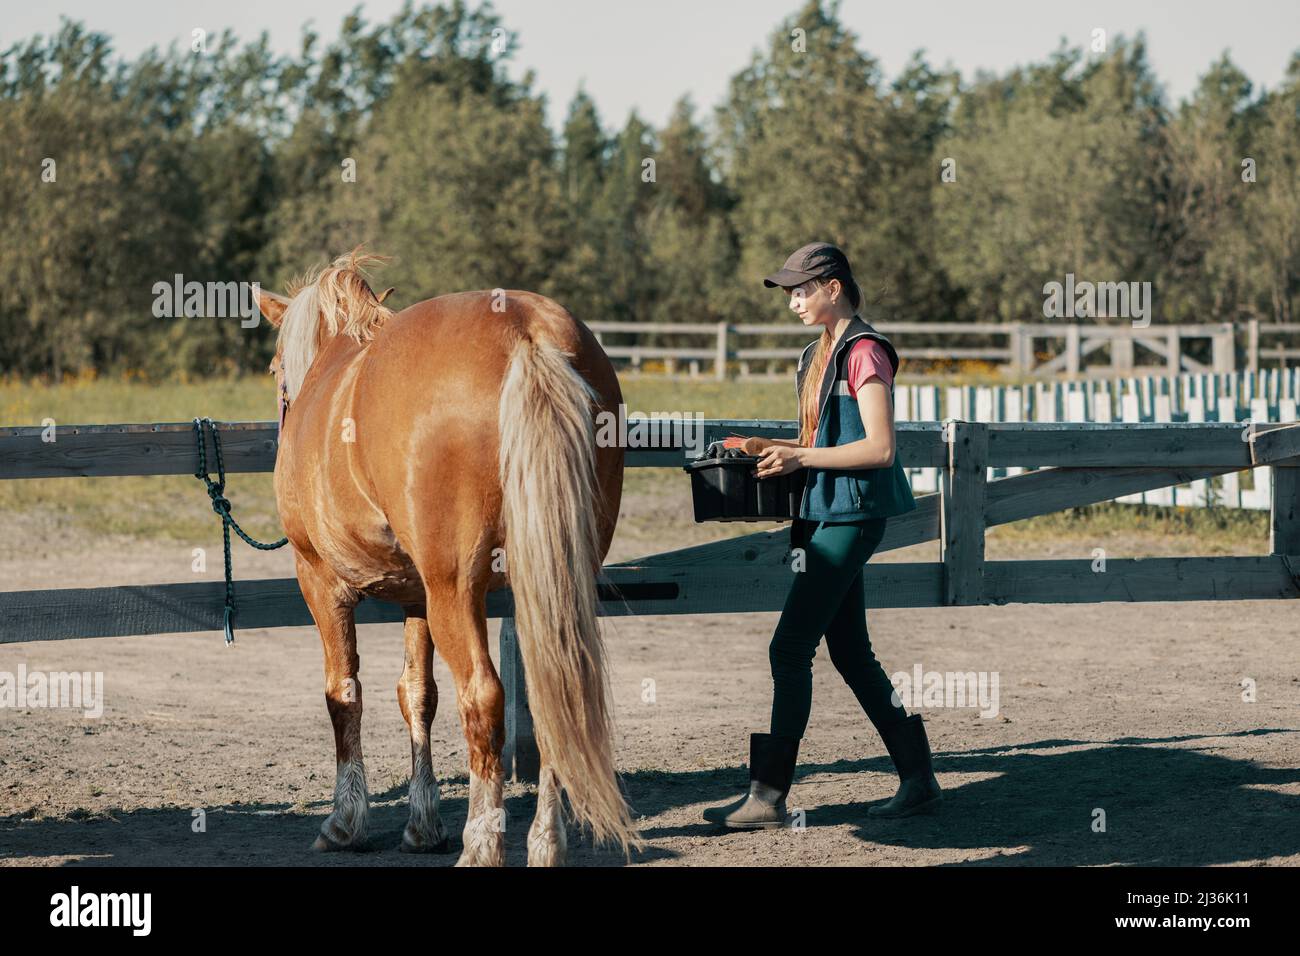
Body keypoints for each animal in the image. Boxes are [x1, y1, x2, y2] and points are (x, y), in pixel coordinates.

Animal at [250, 254, 637, 868]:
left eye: (273, 370)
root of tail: (528, 333)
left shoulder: (321, 581)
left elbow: (344, 694)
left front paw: (345, 821)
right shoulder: (415, 594)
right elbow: (417, 695)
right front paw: (422, 822)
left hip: (456, 589)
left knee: (482, 697)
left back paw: (481, 843)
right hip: (545, 584)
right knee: (553, 695)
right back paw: (545, 843)